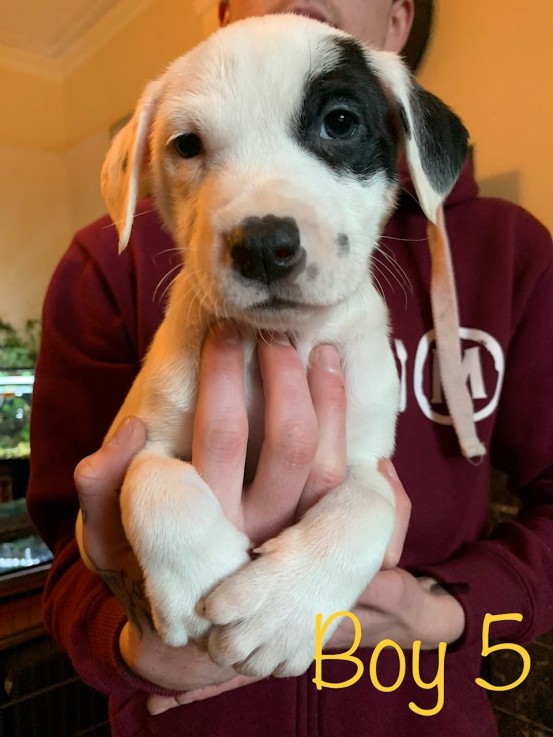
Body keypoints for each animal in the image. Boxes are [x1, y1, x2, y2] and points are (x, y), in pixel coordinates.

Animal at [76, 12, 466, 680]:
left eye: (340, 122)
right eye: (186, 145)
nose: (262, 245)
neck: (278, 343)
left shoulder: (368, 462)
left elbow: (369, 509)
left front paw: (282, 610)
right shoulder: (131, 444)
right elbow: (149, 479)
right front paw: (201, 574)